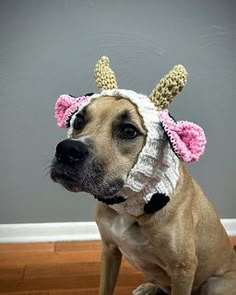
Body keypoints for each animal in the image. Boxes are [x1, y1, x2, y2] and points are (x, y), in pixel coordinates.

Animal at [50, 56, 236, 294]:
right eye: (79, 121)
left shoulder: (183, 270)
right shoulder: (109, 249)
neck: (131, 206)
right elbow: (105, 287)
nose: (67, 150)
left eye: (128, 131)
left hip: (215, 284)